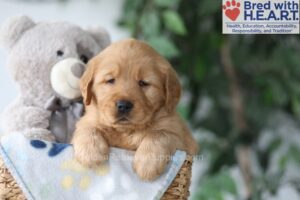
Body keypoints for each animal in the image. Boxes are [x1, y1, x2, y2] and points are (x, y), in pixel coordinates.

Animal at [71, 38, 198, 180]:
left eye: (143, 83)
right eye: (110, 80)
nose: (123, 105)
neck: (126, 131)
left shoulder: (180, 138)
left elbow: (159, 134)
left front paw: (147, 163)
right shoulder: (89, 119)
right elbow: (87, 127)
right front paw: (90, 152)